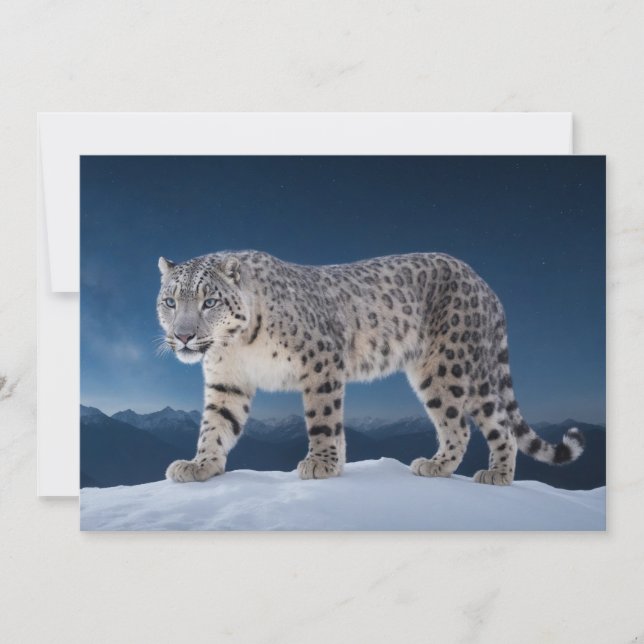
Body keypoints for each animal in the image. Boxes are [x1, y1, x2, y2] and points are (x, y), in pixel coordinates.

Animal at [156, 250, 584, 485]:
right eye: (170, 301)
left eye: (210, 301)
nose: (183, 337)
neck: (237, 346)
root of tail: (485, 284)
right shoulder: (227, 381)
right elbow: (216, 425)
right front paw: (201, 465)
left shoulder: (321, 361)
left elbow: (323, 418)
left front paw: (322, 463)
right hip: (435, 374)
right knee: (462, 424)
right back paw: (445, 467)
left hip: (455, 366)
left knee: (488, 424)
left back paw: (490, 474)